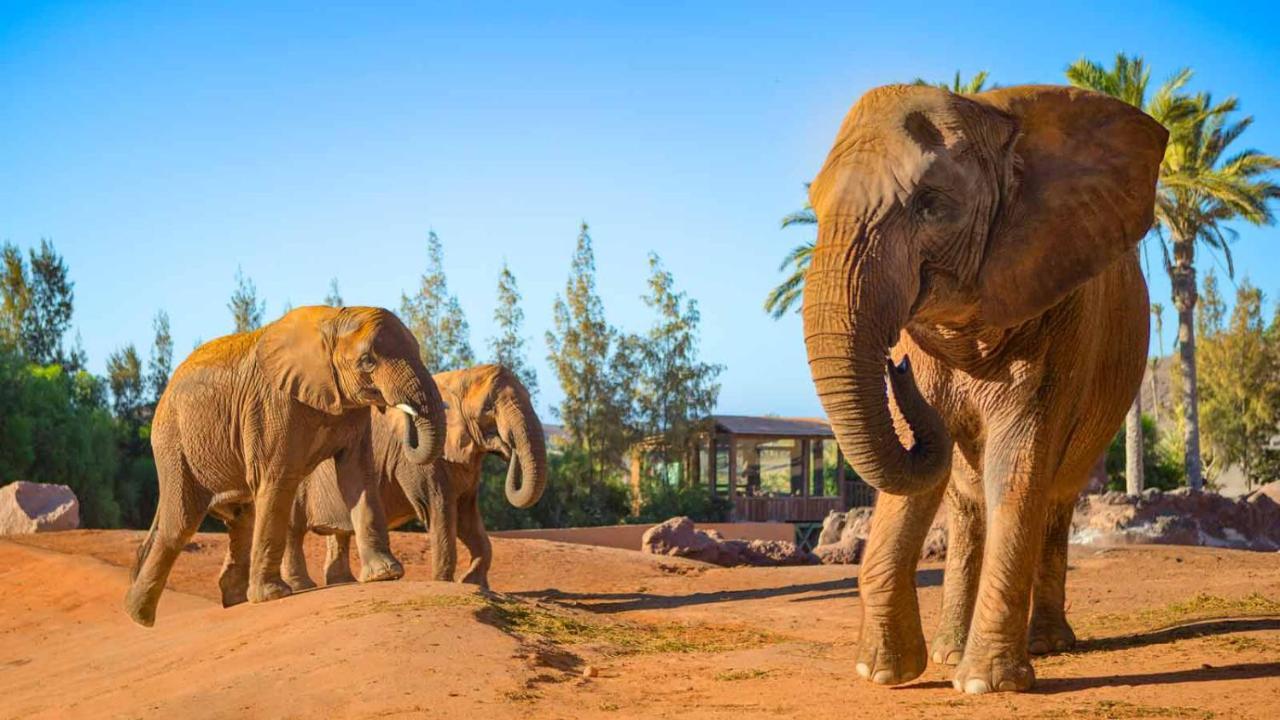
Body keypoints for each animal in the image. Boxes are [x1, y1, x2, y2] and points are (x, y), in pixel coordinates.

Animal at [124, 304, 445, 625]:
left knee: (241, 518)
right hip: (173, 443)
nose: (401, 411)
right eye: (367, 361)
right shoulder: (271, 405)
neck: (333, 320)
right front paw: (272, 596)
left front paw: (386, 575)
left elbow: (357, 478)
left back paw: (234, 601)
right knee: (180, 524)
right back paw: (139, 617)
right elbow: (278, 480)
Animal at [285, 363, 545, 589]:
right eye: (489, 408)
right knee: (293, 530)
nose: (508, 448)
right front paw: (443, 583)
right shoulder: (417, 464)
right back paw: (302, 585)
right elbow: (440, 511)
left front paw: (473, 583)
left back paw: (343, 582)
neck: (457, 378)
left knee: (338, 532)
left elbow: (467, 518)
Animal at [798, 83, 1172, 691]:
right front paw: (882, 672)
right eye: (813, 206)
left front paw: (987, 685)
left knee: (1054, 498)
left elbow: (1015, 464)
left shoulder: (1061, 311)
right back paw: (950, 653)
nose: (896, 365)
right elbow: (915, 479)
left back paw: (1047, 645)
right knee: (966, 505)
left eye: (930, 203)